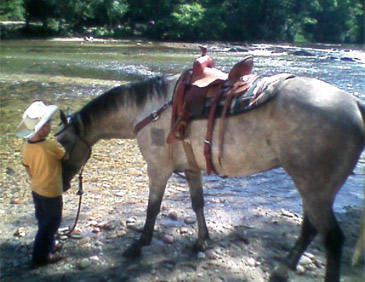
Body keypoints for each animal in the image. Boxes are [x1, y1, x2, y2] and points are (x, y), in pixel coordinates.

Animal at [57, 73, 364, 282]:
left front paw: (139, 244)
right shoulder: (192, 169)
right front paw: (202, 240)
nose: (63, 184)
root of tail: (354, 103)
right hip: (312, 188)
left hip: (314, 188)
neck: (149, 111)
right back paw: (282, 269)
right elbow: (197, 204)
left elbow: (153, 209)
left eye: (63, 143)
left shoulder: (157, 169)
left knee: (332, 238)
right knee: (310, 229)